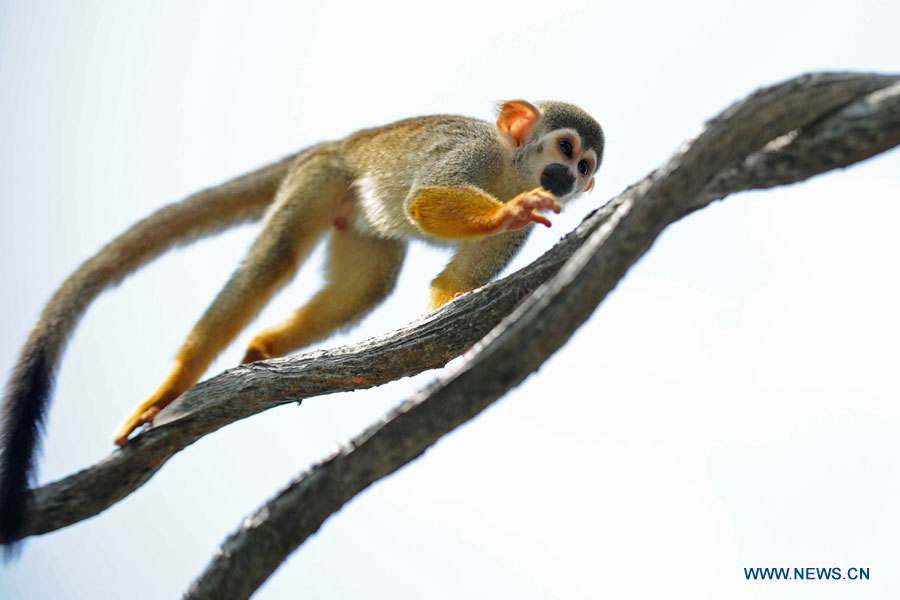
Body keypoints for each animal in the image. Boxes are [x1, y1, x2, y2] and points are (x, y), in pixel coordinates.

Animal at [1, 99, 604, 548]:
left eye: (585, 168)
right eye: (566, 149)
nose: (569, 180)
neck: (509, 168)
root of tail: (342, 142)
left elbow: (450, 283)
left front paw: (449, 311)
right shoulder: (474, 154)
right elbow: (424, 201)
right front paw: (504, 211)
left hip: (354, 216)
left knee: (367, 285)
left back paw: (267, 346)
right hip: (323, 178)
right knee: (277, 260)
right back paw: (179, 381)